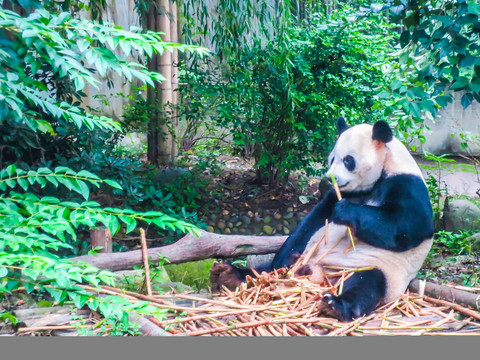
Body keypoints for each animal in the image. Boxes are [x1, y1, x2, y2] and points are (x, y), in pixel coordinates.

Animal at [210, 118, 436, 320]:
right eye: (332, 158)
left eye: (348, 160)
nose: (330, 177)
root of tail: (316, 274)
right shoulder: (336, 195)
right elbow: (312, 221)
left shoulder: (406, 184)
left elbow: (408, 226)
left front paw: (345, 211)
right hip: (301, 259)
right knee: (265, 269)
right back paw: (229, 274)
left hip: (373, 268)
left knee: (367, 282)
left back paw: (336, 305)